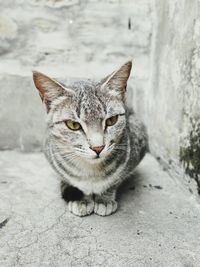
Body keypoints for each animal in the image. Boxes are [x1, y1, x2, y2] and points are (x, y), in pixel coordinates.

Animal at [32, 62, 148, 218]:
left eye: (111, 120)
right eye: (73, 125)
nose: (98, 147)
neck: (92, 171)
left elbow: (115, 180)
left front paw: (105, 198)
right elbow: (72, 180)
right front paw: (82, 199)